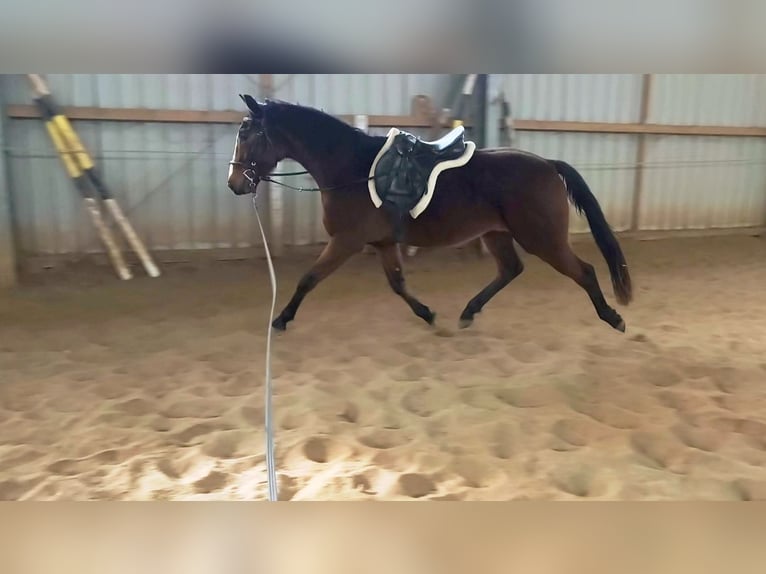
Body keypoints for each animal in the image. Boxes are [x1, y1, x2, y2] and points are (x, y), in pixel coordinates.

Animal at [227, 95, 633, 333]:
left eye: (246, 134)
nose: (234, 184)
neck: (352, 168)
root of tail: (548, 164)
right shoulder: (383, 243)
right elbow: (397, 283)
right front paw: (427, 314)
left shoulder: (346, 241)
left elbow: (308, 279)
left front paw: (281, 318)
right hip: (497, 234)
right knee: (510, 269)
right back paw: (469, 311)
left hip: (543, 239)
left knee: (585, 271)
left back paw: (612, 318)